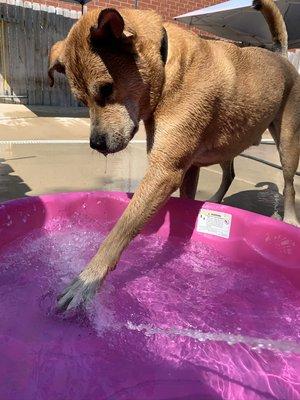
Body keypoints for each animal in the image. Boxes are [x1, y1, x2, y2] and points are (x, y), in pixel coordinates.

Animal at [48, 0, 298, 310]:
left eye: (106, 89)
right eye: (81, 101)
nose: (96, 144)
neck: (167, 67)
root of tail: (281, 55)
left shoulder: (165, 171)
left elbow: (120, 230)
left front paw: (87, 280)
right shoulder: (188, 167)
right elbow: (185, 206)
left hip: (287, 142)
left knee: (289, 183)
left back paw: (290, 220)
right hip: (228, 141)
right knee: (230, 172)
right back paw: (216, 200)